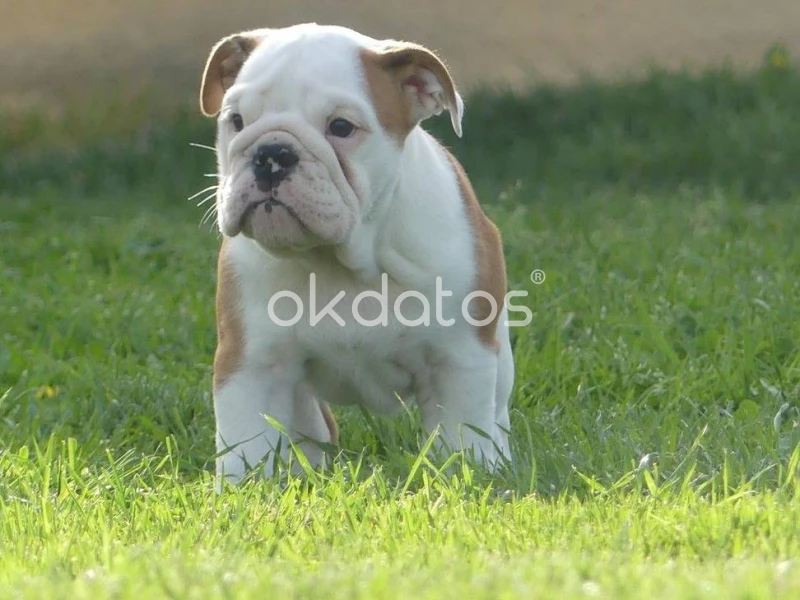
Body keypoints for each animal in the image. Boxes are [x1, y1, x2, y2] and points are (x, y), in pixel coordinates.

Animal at [199, 23, 515, 485]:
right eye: (236, 121)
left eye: (341, 127)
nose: (271, 153)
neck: (344, 260)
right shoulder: (253, 364)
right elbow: (245, 443)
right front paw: (242, 489)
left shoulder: (458, 358)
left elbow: (462, 433)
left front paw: (468, 476)